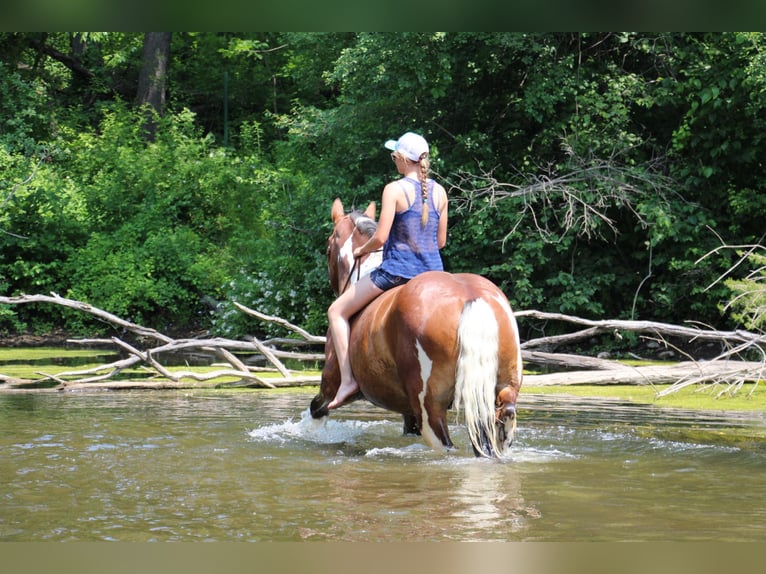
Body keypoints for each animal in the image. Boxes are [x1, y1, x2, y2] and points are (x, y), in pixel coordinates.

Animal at [308, 198, 524, 460]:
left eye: (328, 249)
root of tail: (472, 297)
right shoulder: (408, 410)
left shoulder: (330, 385)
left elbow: (316, 410)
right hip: (501, 390)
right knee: (503, 418)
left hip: (430, 406)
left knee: (445, 444)